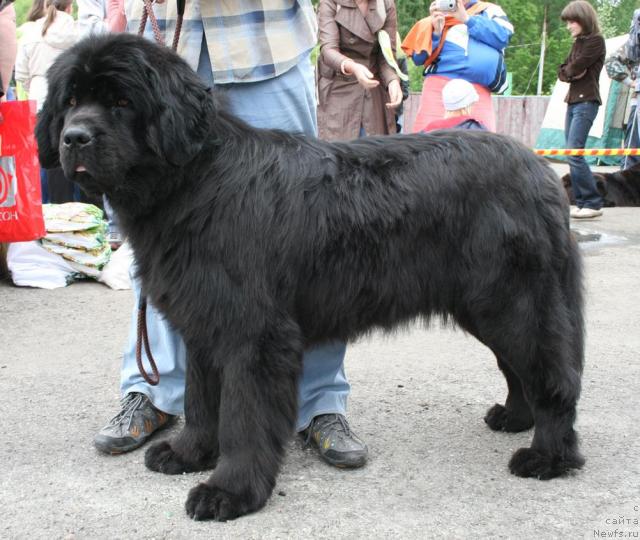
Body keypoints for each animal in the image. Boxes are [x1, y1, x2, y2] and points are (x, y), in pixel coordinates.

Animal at [35, 32, 584, 520]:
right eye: (71, 101)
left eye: (122, 101)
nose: (73, 138)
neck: (196, 181)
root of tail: (540, 170)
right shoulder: (205, 324)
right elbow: (200, 399)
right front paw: (190, 454)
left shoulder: (254, 335)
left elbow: (243, 418)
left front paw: (229, 492)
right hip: (488, 306)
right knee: (519, 368)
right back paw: (515, 418)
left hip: (515, 303)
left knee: (554, 377)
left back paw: (548, 455)